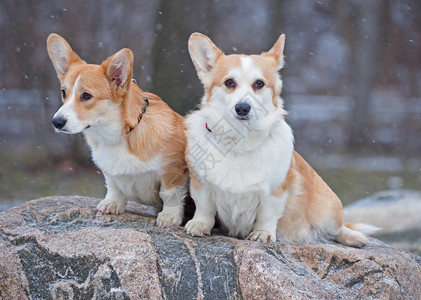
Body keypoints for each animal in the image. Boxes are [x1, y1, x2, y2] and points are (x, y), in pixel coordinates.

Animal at [46, 34, 187, 227]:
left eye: (86, 95)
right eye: (63, 93)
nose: (56, 122)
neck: (117, 136)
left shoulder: (173, 170)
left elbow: (170, 194)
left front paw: (169, 216)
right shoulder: (110, 172)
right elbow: (113, 185)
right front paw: (112, 203)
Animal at [184, 32, 378, 246]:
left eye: (259, 84)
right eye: (229, 83)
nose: (242, 108)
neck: (240, 140)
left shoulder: (276, 190)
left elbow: (267, 215)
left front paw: (263, 233)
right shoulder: (200, 184)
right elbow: (205, 208)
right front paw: (199, 224)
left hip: (330, 211)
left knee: (337, 229)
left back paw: (355, 237)